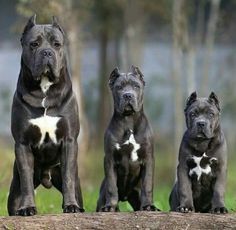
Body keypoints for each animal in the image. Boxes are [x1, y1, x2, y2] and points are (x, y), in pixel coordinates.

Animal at [7, 15, 84, 216]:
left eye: (57, 44)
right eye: (34, 44)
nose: (47, 52)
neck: (44, 89)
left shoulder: (69, 141)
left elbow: (68, 178)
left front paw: (71, 206)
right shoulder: (23, 144)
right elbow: (26, 181)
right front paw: (27, 208)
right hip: (14, 189)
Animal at [96, 65, 159, 211]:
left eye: (136, 86)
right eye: (119, 87)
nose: (128, 95)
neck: (129, 121)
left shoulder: (148, 158)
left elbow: (147, 185)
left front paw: (148, 206)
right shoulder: (109, 159)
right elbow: (112, 186)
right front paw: (110, 206)